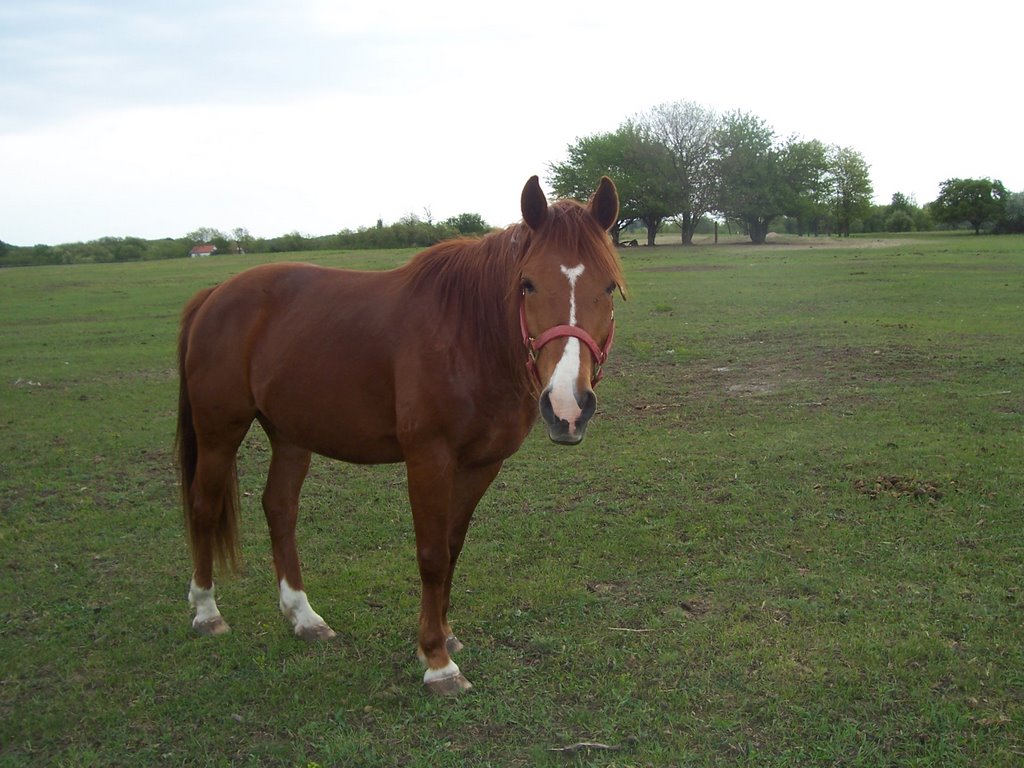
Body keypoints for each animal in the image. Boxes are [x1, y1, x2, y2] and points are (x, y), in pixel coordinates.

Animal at [176, 177, 622, 696]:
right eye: (527, 283)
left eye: (608, 286)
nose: (569, 407)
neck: (467, 337)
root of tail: (215, 294)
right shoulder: (428, 459)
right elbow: (431, 555)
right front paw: (437, 663)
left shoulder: (481, 465)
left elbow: (452, 548)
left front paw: (444, 636)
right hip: (219, 429)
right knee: (204, 506)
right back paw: (206, 611)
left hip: (290, 434)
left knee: (280, 509)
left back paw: (304, 617)